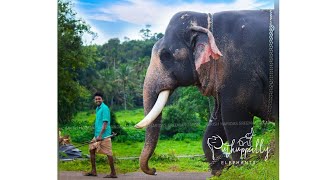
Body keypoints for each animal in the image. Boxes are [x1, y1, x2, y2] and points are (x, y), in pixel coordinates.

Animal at [134, 9, 278, 176]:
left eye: (165, 55)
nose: (153, 170)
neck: (204, 19)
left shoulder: (240, 73)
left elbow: (234, 118)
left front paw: (243, 171)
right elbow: (218, 120)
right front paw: (222, 168)